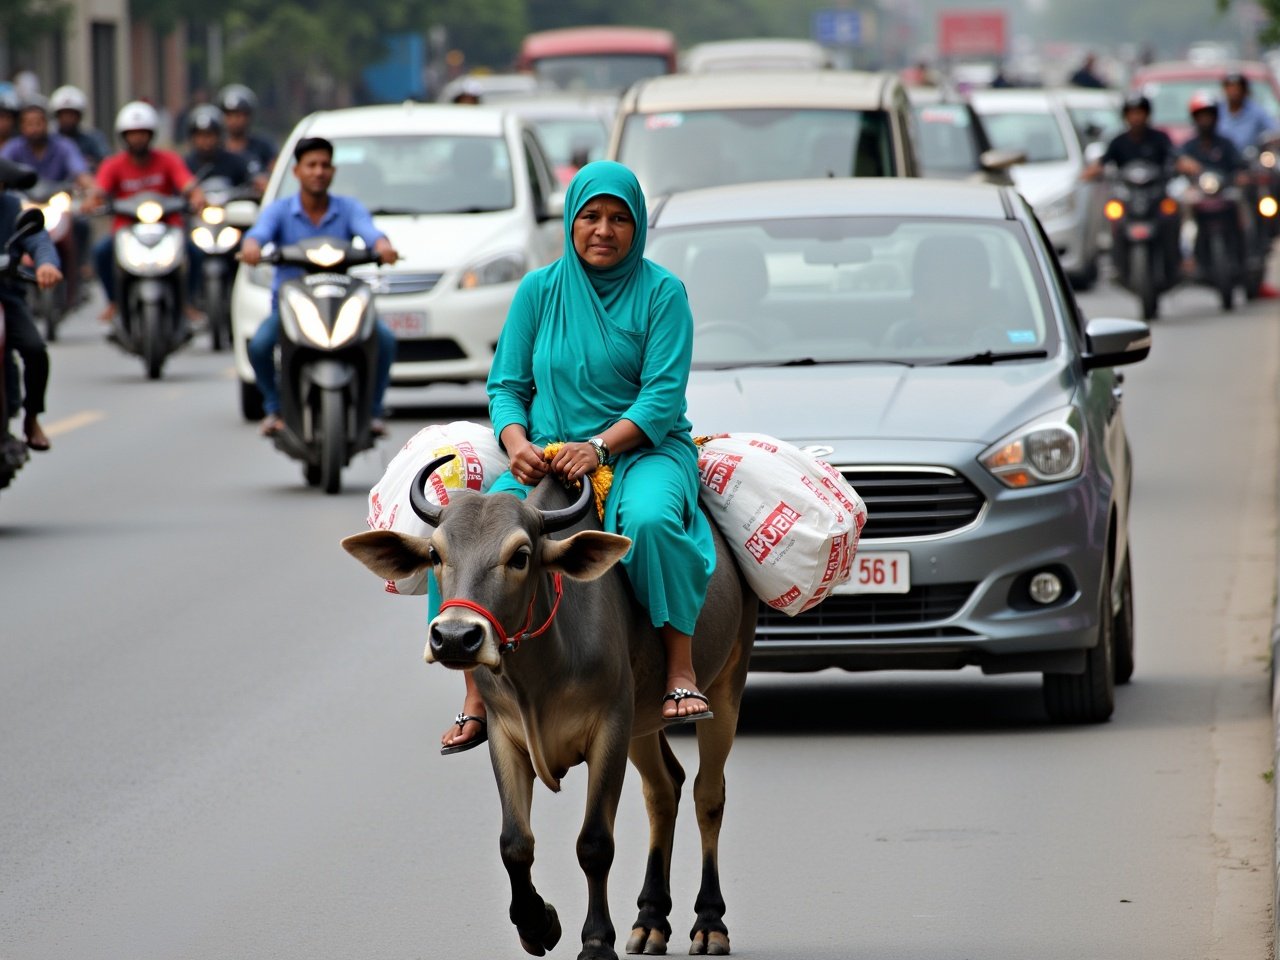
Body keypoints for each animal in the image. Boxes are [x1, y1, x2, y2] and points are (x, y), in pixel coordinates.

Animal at [345, 460, 752, 960]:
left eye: (521, 556)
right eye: (436, 554)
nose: (456, 638)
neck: (542, 666)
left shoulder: (610, 728)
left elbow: (594, 844)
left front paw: (596, 941)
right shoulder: (506, 734)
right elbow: (515, 843)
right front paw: (538, 925)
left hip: (727, 683)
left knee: (707, 796)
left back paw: (709, 924)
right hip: (643, 723)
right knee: (663, 790)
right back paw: (650, 921)